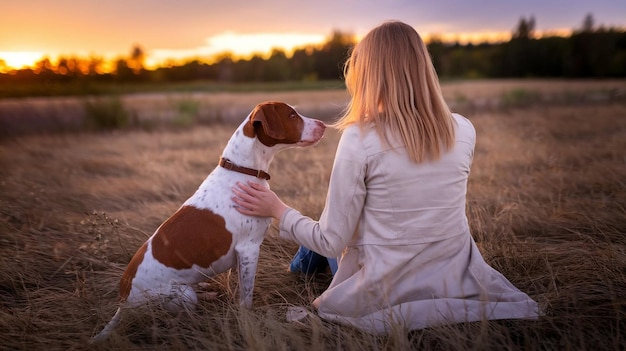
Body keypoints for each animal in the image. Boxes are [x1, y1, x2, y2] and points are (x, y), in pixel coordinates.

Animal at [92, 101, 326, 344]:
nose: (323, 124)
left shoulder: (243, 255)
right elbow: (246, 297)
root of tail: (123, 303)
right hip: (183, 295)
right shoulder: (249, 249)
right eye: (292, 115)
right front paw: (248, 318)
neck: (242, 170)